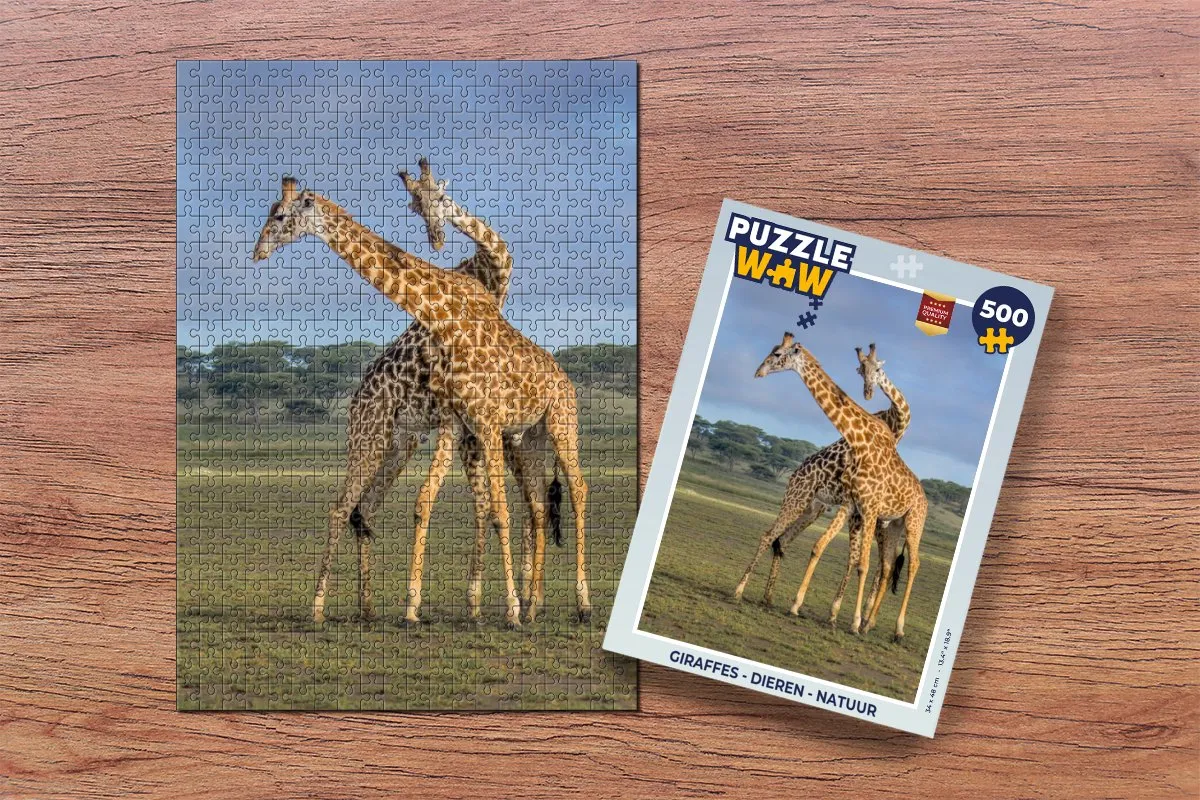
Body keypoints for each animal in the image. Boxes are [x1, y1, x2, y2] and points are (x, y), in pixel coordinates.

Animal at [253, 176, 590, 629]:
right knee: (354, 508)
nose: (258, 251)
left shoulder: (479, 425)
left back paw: (573, 603)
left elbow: (488, 509)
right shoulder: (465, 425)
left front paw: (498, 607)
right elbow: (446, 503)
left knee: (571, 491)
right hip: (392, 439)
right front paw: (440, 605)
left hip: (552, 425)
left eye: (280, 215)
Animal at [753, 332, 927, 641]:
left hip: (910, 522)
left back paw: (894, 629)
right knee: (781, 540)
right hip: (813, 506)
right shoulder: (855, 506)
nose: (758, 371)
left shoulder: (865, 509)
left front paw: (848, 618)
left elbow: (859, 561)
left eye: (777, 354)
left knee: (910, 565)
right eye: (860, 370)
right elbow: (840, 554)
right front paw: (831, 613)